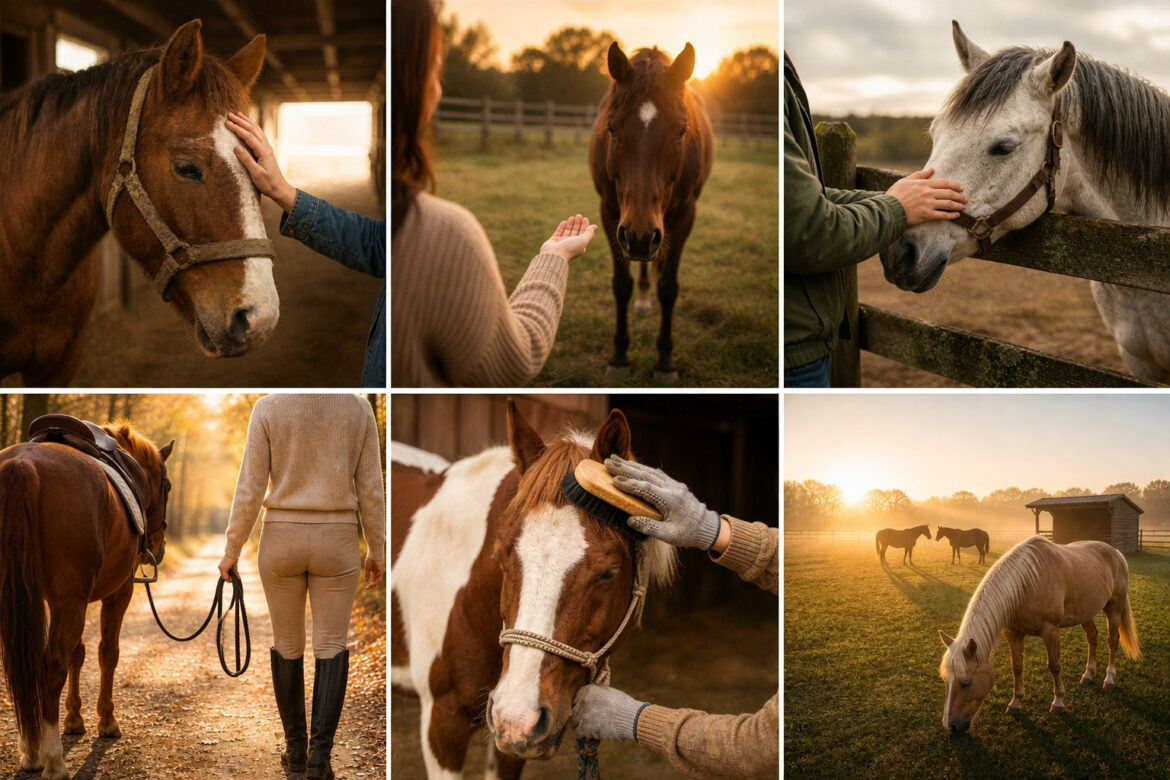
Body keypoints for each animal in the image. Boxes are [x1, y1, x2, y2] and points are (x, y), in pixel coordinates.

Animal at [0, 423, 173, 780]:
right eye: (168, 486)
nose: (160, 545)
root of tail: (22, 464)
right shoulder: (116, 593)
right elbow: (107, 653)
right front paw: (106, 721)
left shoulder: (62, 599)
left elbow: (77, 655)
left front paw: (74, 719)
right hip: (72, 601)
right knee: (50, 665)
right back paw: (52, 759)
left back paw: (31, 750)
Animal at [589, 42, 714, 384]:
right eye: (611, 127)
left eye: (682, 130)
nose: (640, 237)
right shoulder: (611, 213)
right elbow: (621, 285)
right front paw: (619, 356)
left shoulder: (683, 217)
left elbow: (669, 288)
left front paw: (665, 361)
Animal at [939, 535, 1141, 734]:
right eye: (946, 680)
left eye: (966, 683)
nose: (951, 726)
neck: (1025, 584)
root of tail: (1116, 553)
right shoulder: (1013, 633)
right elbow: (1017, 667)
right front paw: (1015, 703)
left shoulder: (1051, 631)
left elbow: (1054, 666)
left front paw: (1058, 702)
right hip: (1086, 611)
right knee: (1092, 637)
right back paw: (1088, 675)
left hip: (1114, 608)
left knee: (1112, 641)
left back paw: (1109, 679)